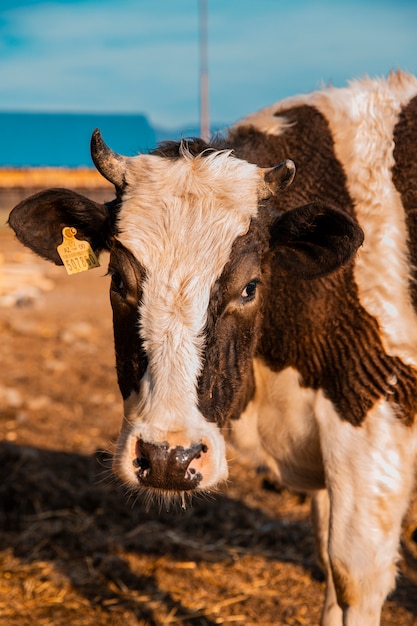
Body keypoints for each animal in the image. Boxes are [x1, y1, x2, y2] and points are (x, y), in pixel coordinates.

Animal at [8, 70, 416, 620]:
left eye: (249, 287)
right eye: (118, 281)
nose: (167, 459)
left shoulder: (376, 415)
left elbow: (354, 575)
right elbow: (330, 571)